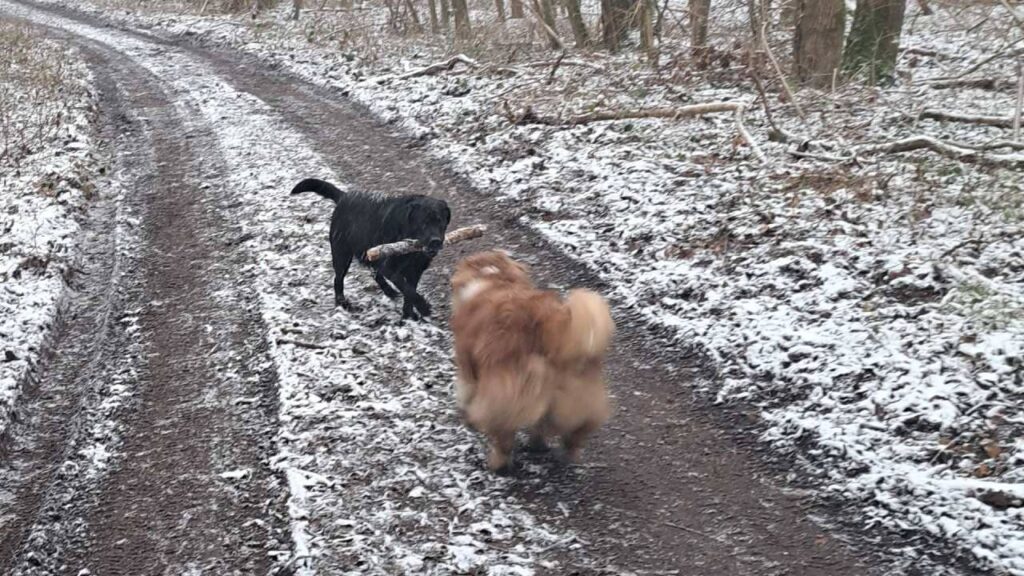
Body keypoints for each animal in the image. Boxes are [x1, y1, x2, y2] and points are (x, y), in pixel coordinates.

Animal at [288, 177, 448, 317]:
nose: (435, 241)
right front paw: (423, 307)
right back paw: (342, 302)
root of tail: (344, 196)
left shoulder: (416, 270)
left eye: (440, 222)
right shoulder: (390, 267)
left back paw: (389, 291)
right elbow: (407, 289)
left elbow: (410, 292)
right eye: (423, 223)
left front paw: (409, 314)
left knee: (375, 273)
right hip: (342, 253)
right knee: (338, 279)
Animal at [450, 251, 610, 471]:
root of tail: (552, 326)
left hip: (508, 392)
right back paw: (557, 450)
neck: (492, 278)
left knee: (504, 434)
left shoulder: (467, 365)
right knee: (574, 429)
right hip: (579, 392)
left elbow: (465, 391)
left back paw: (498, 463)